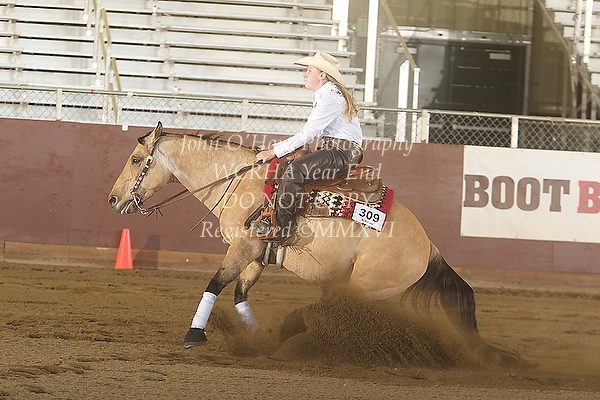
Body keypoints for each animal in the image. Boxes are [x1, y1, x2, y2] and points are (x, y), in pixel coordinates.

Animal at [108, 122, 478, 349]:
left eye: (136, 159)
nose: (113, 199)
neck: (243, 182)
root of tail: (428, 246)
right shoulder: (258, 256)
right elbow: (239, 295)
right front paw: (259, 342)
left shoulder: (243, 246)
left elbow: (214, 284)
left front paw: (194, 334)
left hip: (364, 288)